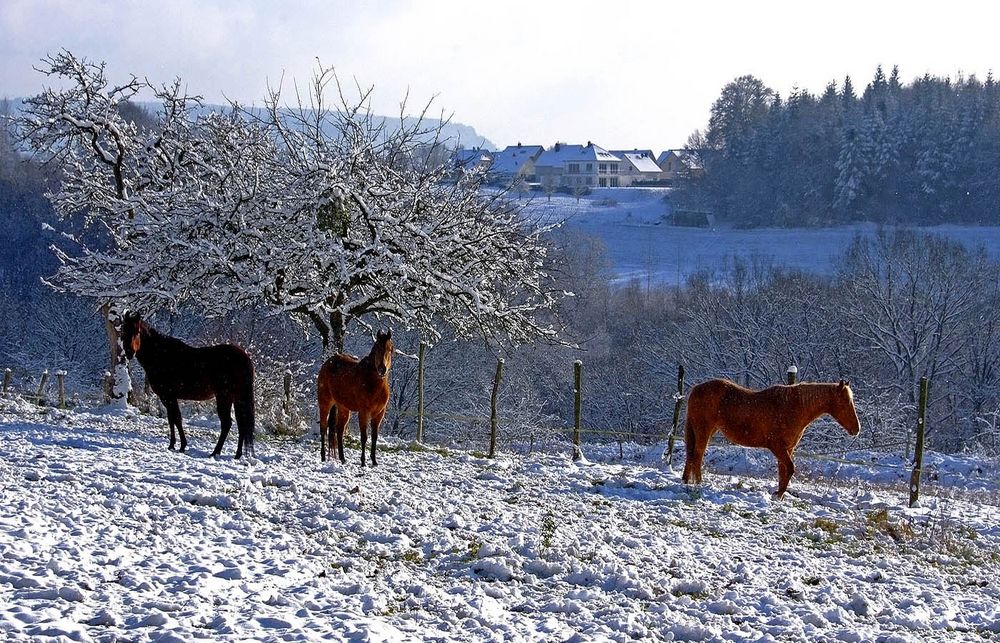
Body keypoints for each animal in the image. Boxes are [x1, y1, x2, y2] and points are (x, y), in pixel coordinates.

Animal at [120, 310, 256, 458]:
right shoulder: (167, 397)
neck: (161, 356)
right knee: (241, 423)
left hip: (224, 397)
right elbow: (172, 419)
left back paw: (215, 452)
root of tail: (243, 357)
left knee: (227, 423)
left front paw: (181, 446)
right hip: (236, 398)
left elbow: (176, 419)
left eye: (137, 331)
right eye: (124, 331)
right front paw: (173, 445)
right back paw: (237, 455)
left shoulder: (168, 396)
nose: (129, 352)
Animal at [318, 332, 392, 468]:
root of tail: (327, 363)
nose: (382, 369)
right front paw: (363, 461)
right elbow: (364, 437)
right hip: (324, 403)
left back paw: (342, 458)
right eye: (377, 348)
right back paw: (323, 457)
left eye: (389, 349)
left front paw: (374, 461)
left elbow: (374, 437)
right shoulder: (363, 412)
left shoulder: (379, 414)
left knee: (339, 430)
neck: (374, 383)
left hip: (343, 408)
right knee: (323, 428)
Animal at [680, 380, 860, 500]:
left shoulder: (788, 449)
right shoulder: (777, 447)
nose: (856, 429)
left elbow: (783, 471)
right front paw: (778, 494)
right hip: (703, 430)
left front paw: (778, 495)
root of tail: (697, 389)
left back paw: (686, 482)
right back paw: (699, 484)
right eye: (845, 402)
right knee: (697, 455)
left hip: (707, 431)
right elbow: (790, 469)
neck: (794, 406)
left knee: (691, 455)